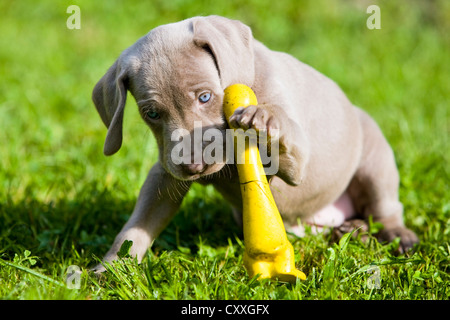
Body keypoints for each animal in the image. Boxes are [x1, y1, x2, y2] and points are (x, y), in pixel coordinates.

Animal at [91, 15, 418, 270]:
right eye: (152, 113)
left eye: (205, 97)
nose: (193, 166)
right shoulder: (165, 173)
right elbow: (136, 226)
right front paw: (110, 269)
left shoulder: (299, 158)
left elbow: (282, 136)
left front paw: (263, 118)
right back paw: (352, 230)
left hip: (375, 159)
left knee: (386, 207)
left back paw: (394, 236)